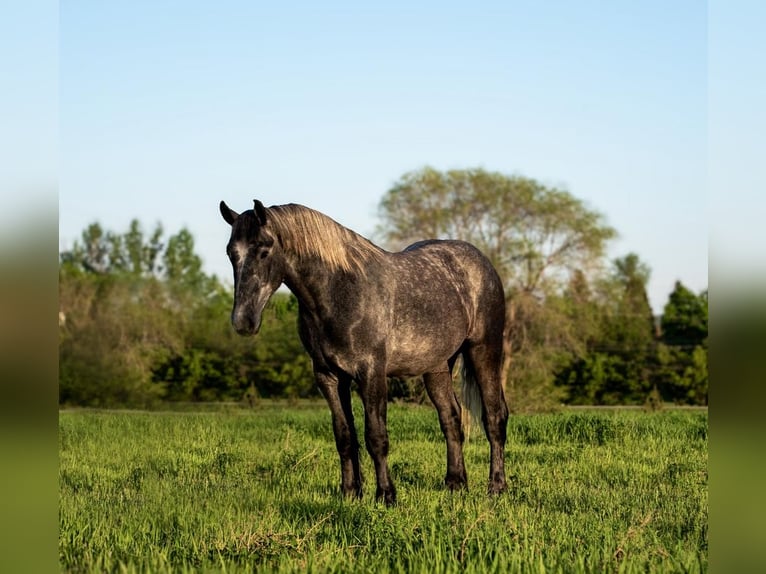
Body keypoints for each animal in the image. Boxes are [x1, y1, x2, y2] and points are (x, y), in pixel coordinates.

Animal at [220, 200, 510, 506]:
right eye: (231, 253)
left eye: (264, 250)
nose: (243, 321)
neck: (340, 292)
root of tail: (481, 262)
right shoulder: (329, 376)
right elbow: (344, 436)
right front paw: (350, 493)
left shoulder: (371, 373)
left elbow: (376, 436)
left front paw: (386, 496)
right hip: (438, 366)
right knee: (451, 419)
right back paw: (455, 484)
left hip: (484, 351)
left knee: (494, 418)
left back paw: (497, 487)